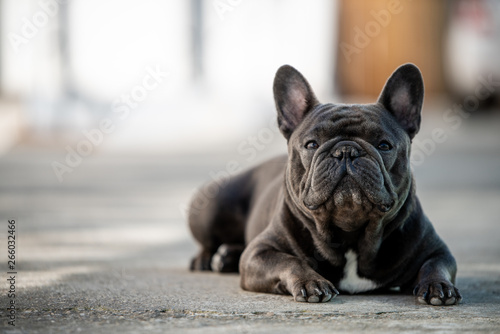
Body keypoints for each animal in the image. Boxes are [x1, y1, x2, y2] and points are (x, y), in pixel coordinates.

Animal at [188, 63, 460, 306]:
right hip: (211, 205)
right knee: (208, 242)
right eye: (311, 144)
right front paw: (312, 282)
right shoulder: (259, 253)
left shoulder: (436, 250)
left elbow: (435, 265)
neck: (351, 235)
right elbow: (289, 261)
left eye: (384, 145)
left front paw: (439, 286)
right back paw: (207, 259)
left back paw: (226, 257)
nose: (346, 150)